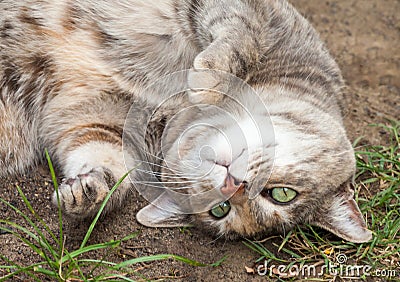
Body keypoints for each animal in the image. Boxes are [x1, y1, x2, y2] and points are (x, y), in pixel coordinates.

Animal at [0, 0, 372, 242]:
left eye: (219, 211)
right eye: (283, 194)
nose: (234, 186)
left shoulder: (98, 122)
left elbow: (103, 162)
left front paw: (88, 192)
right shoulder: (254, 13)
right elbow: (242, 34)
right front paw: (210, 79)